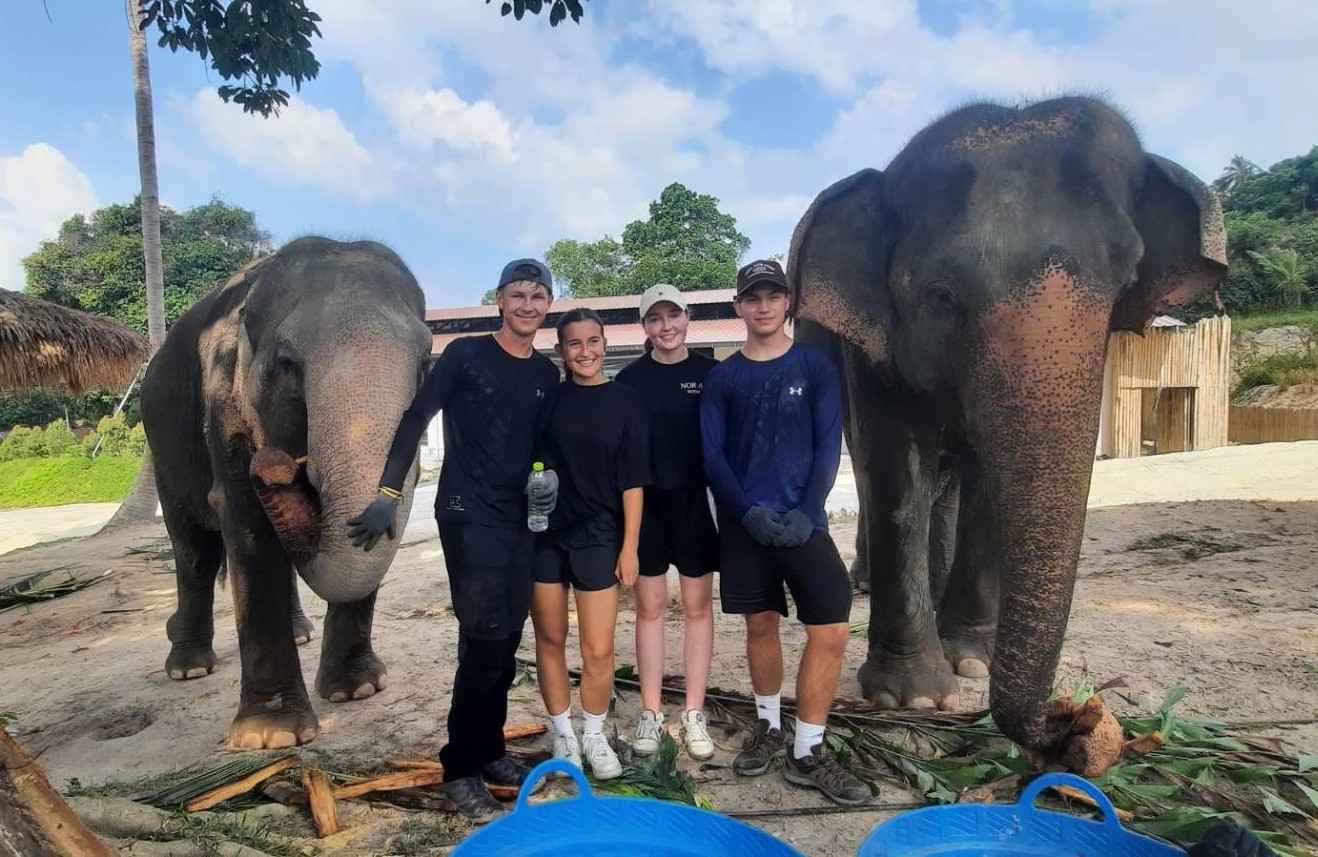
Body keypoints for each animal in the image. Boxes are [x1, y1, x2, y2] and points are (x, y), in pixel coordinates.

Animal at [141, 237, 431, 749]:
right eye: (287, 364)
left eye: (425, 362)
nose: (274, 467)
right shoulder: (222, 406)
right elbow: (246, 523)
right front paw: (271, 736)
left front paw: (357, 690)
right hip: (162, 451)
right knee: (194, 550)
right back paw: (189, 667)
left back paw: (299, 633)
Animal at [788, 97, 1226, 773]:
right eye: (940, 295)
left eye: (1126, 284)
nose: (1076, 718)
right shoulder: (869, 349)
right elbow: (893, 463)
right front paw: (913, 698)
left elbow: (986, 484)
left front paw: (972, 660)